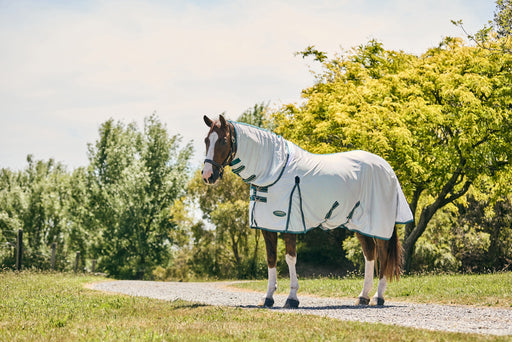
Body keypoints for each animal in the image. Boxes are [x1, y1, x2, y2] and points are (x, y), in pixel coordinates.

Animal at [202, 114, 414, 308]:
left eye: (223, 140)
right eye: (206, 140)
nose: (207, 176)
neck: (274, 171)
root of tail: (386, 167)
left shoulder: (289, 224)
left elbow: (290, 258)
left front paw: (292, 298)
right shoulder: (267, 226)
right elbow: (271, 259)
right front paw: (268, 298)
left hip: (379, 223)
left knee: (383, 254)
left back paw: (378, 297)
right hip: (359, 223)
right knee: (369, 254)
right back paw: (363, 297)